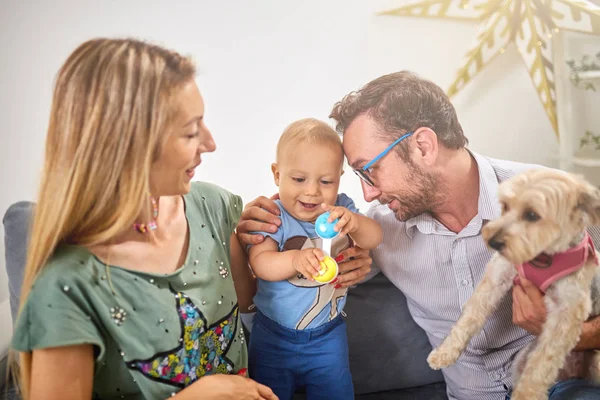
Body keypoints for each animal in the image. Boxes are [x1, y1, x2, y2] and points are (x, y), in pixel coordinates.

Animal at [426, 169, 600, 400]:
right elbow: (470, 316)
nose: (493, 241)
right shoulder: (498, 275)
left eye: (532, 215)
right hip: (520, 361)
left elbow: (542, 362)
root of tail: (574, 372)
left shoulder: (567, 310)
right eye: (505, 206)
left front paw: (526, 394)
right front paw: (445, 353)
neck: (542, 257)